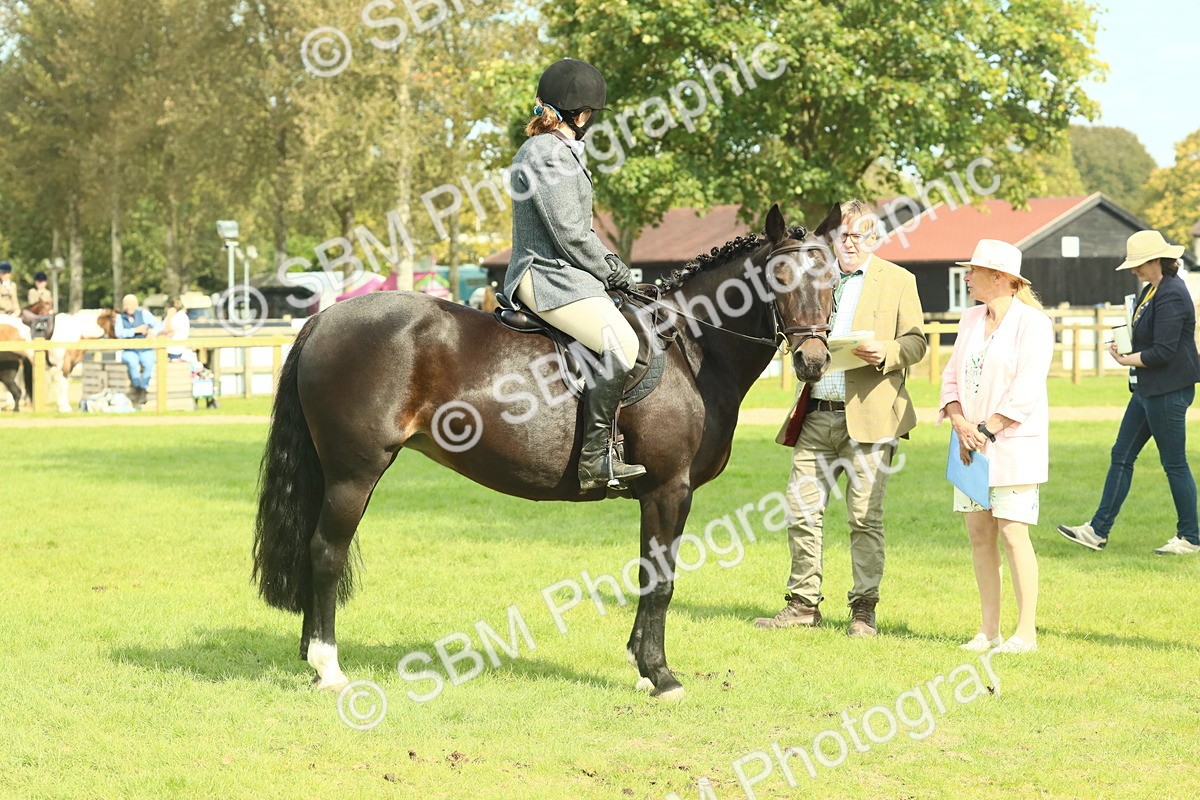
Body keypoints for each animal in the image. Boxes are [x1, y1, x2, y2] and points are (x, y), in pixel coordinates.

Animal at [253, 203, 841, 699]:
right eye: (779, 277)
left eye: (834, 279)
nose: (813, 362)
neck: (690, 349)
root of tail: (323, 319)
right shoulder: (670, 488)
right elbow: (660, 580)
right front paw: (660, 674)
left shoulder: (660, 493)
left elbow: (648, 574)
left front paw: (641, 664)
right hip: (354, 473)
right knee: (325, 552)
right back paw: (329, 668)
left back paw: (311, 656)